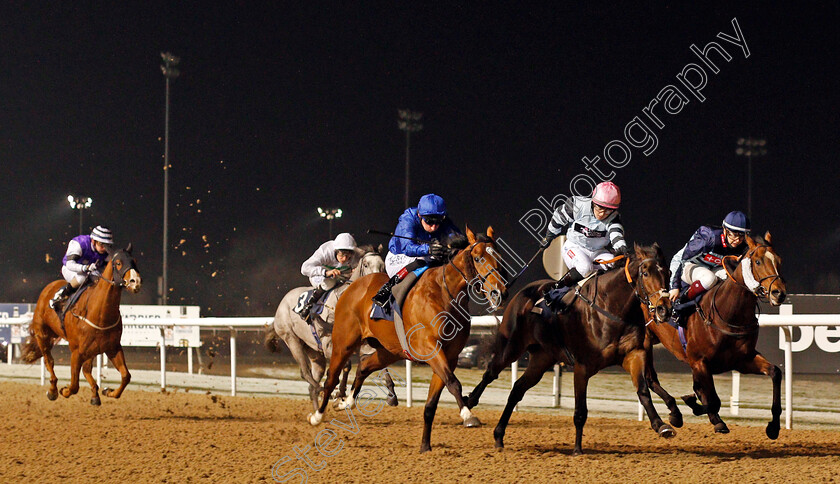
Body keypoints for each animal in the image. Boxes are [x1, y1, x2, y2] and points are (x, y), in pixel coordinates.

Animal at [20, 246, 142, 404]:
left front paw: (108, 391)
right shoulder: (76, 351)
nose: (135, 282)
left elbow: (126, 376)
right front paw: (64, 390)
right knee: (49, 361)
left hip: (90, 349)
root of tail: (49, 288)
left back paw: (95, 394)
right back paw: (53, 390)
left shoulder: (113, 347)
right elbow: (74, 385)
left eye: (134, 261)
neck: (99, 314)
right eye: (119, 263)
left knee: (86, 369)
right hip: (43, 335)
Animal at [266, 246, 400, 412]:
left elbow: (380, 366)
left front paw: (391, 396)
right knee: (305, 373)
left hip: (314, 351)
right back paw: (324, 391)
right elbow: (346, 366)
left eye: (383, 266)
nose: (378, 285)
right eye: (366, 265)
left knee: (313, 383)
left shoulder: (365, 344)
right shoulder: (329, 343)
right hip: (291, 339)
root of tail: (281, 304)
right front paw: (340, 392)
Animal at [306, 225, 506, 452]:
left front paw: (425, 446)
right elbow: (454, 382)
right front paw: (468, 415)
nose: (499, 292)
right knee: (331, 378)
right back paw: (317, 416)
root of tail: (354, 284)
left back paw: (346, 402)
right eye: (478, 258)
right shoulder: (430, 349)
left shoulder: (450, 356)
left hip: (388, 351)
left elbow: (432, 402)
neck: (444, 294)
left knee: (364, 365)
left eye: (499, 257)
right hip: (344, 343)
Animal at [470, 244, 680, 456]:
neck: (611, 309)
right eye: (645, 273)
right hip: (511, 346)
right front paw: (578, 449)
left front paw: (661, 424)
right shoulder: (582, 367)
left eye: (668, 272)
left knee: (517, 389)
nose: (664, 309)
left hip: (542, 359)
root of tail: (522, 294)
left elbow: (643, 390)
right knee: (491, 372)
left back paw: (499, 435)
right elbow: (580, 411)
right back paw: (470, 402)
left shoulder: (634, 354)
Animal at [644, 233, 788, 436]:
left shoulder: (741, 360)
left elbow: (775, 372)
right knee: (650, 378)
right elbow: (713, 400)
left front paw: (773, 426)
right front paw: (693, 408)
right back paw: (675, 412)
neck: (729, 313)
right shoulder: (700, 362)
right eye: (758, 261)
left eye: (779, 261)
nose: (778, 293)